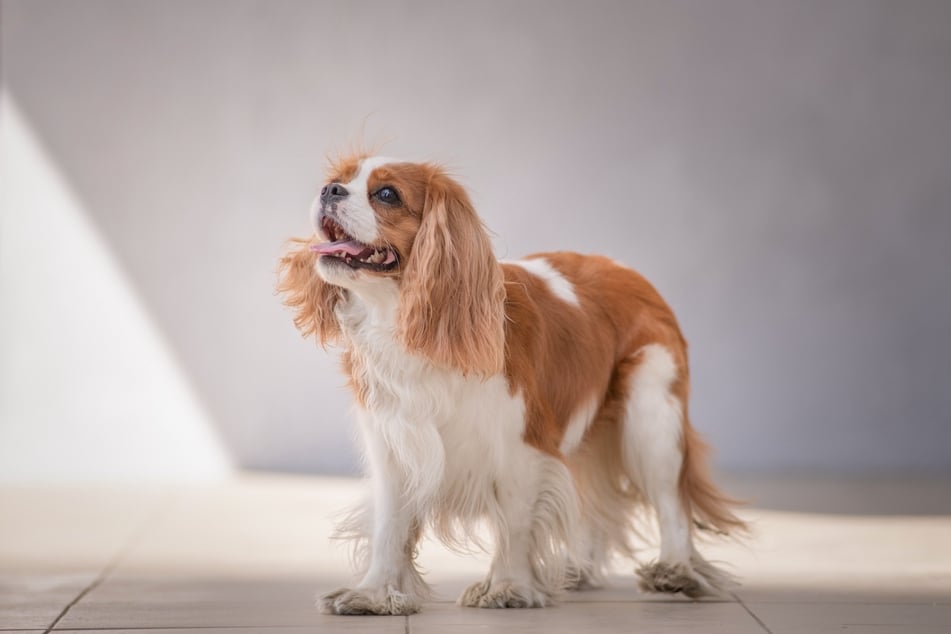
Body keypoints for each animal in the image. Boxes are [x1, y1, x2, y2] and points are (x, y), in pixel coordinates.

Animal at [276, 153, 744, 612]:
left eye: (387, 194)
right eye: (339, 178)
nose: (330, 190)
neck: (403, 324)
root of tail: (625, 269)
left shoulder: (523, 445)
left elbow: (515, 522)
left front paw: (507, 587)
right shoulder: (394, 443)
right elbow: (389, 526)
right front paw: (373, 594)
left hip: (652, 417)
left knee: (671, 502)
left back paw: (676, 572)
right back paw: (579, 570)